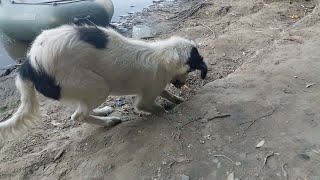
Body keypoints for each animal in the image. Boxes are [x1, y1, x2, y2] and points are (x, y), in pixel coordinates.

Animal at [0, 24, 209, 139]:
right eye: (191, 70)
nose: (181, 84)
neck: (162, 55)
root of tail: (29, 64)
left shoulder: (154, 88)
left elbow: (166, 93)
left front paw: (176, 99)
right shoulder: (146, 97)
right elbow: (153, 107)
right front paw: (167, 109)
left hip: (81, 89)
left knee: (81, 108)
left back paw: (102, 112)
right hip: (98, 86)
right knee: (77, 116)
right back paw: (108, 121)